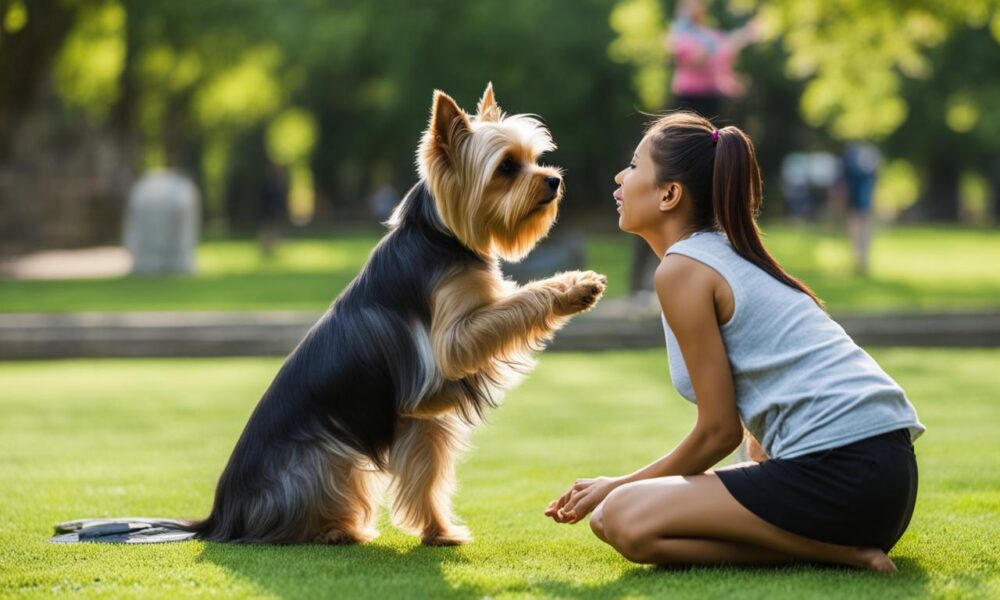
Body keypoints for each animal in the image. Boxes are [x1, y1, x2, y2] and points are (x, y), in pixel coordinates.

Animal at [188, 85, 608, 548]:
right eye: (507, 167)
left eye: (534, 158)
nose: (554, 180)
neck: (440, 235)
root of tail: (220, 516)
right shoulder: (454, 339)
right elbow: (517, 302)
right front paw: (574, 287)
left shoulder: (422, 417)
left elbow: (427, 480)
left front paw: (439, 532)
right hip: (330, 455)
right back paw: (338, 530)